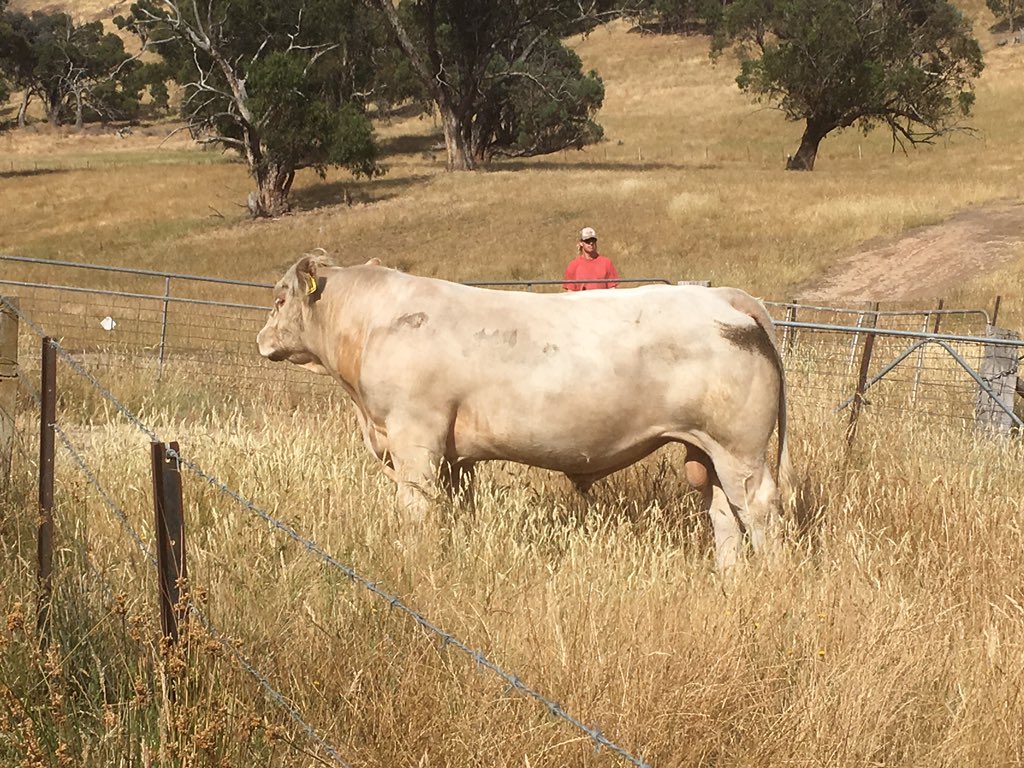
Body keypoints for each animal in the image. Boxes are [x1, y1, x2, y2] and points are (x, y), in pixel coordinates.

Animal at [257, 253, 794, 571]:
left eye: (279, 298)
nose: (261, 339)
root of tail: (721, 295)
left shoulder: (416, 439)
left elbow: (417, 509)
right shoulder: (455, 457)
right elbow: (457, 508)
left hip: (739, 448)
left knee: (757, 507)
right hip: (707, 449)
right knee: (723, 511)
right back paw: (729, 579)